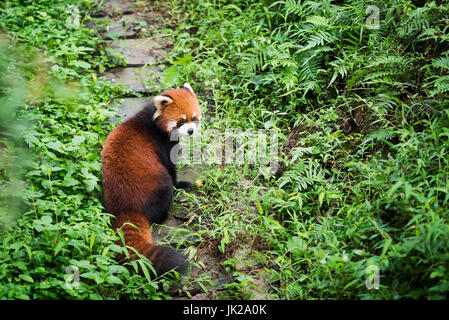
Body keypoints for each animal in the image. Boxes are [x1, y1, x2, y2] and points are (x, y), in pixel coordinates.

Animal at [101, 82, 201, 278]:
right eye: (181, 121)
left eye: (194, 118)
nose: (191, 131)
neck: (155, 123)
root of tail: (125, 207)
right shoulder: (162, 146)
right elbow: (171, 168)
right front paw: (181, 185)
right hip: (156, 185)